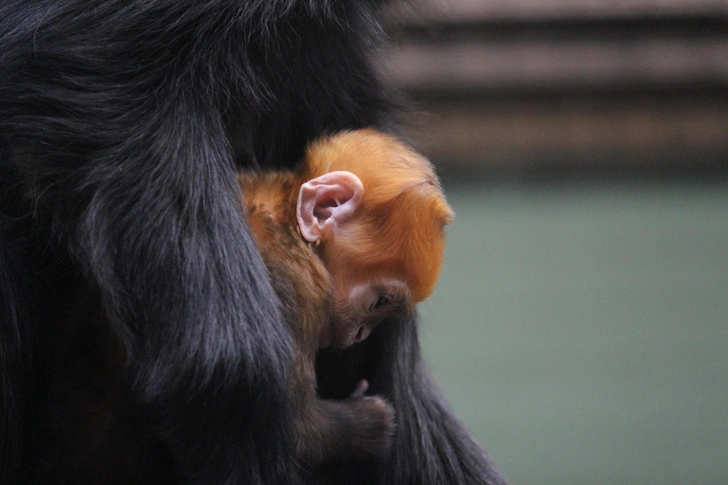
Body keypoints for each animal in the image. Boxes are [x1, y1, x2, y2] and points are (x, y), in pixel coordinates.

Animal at [239, 126, 452, 466]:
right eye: (380, 302)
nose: (361, 333)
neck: (289, 223)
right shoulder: (300, 283)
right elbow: (295, 429)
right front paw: (370, 422)